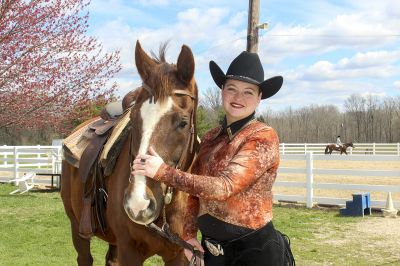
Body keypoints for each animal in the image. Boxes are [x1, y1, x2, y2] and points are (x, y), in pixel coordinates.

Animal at [60, 40, 198, 266]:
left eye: (183, 123)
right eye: (133, 118)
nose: (139, 203)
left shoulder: (179, 255)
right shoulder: (129, 250)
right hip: (76, 226)